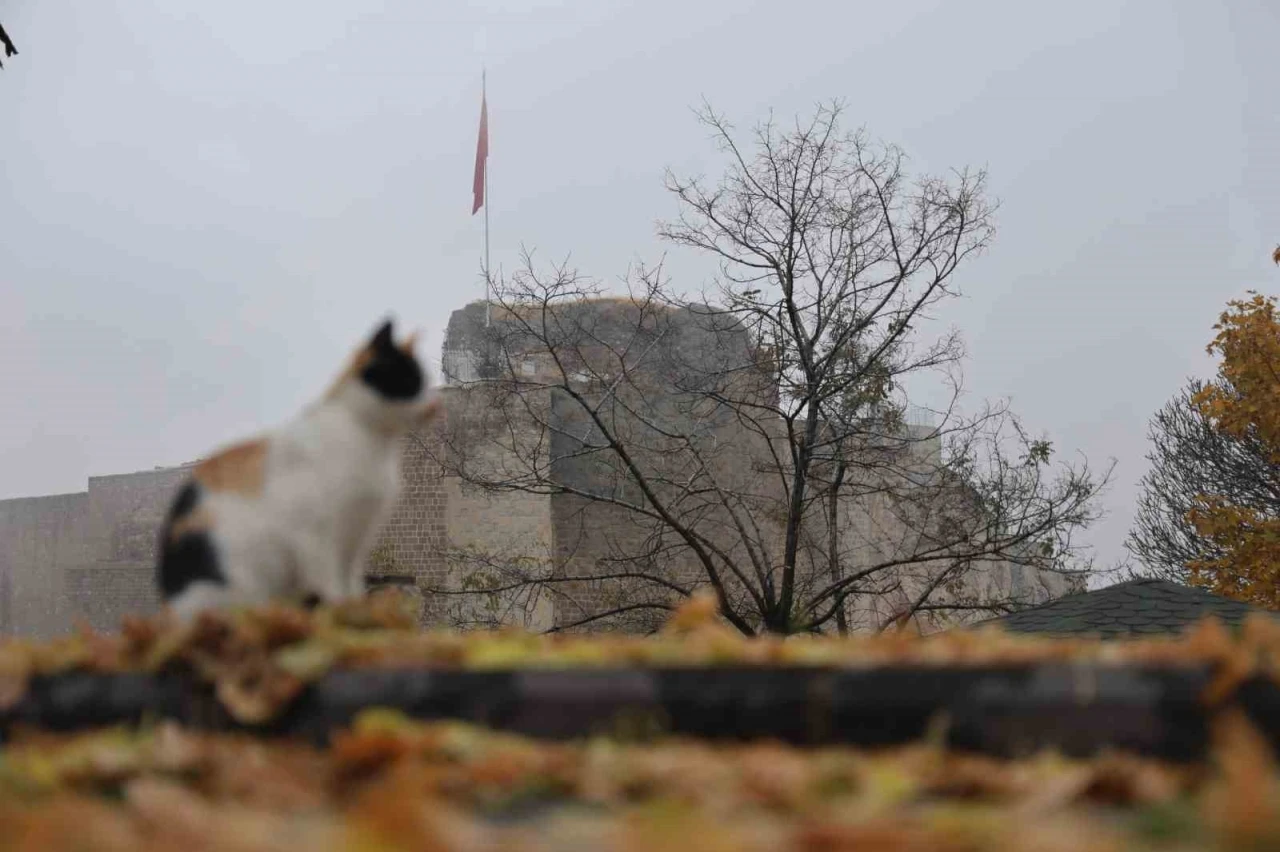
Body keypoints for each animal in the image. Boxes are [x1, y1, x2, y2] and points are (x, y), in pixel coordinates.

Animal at [156, 318, 440, 616]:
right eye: (409, 381)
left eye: (424, 380)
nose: (434, 406)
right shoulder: (317, 537)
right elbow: (333, 587)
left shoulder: (355, 540)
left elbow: (351, 587)